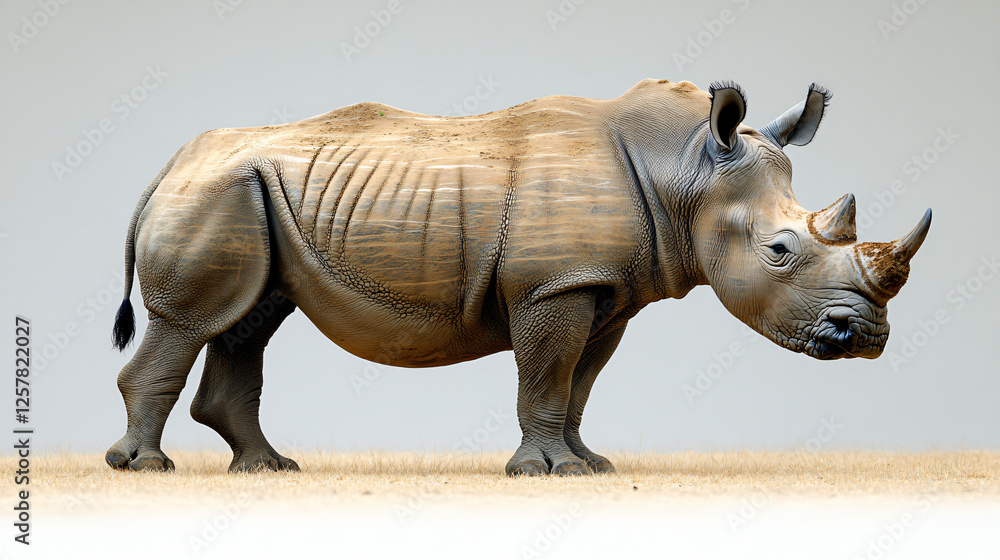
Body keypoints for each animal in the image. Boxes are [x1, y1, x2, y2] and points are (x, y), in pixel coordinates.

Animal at [106, 78, 930, 476]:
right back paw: (147, 468)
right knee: (191, 323)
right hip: (216, 191)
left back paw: (268, 469)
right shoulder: (554, 285)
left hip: (245, 193)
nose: (865, 336)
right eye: (781, 251)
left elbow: (577, 383)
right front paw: (544, 472)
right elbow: (545, 375)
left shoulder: (602, 289)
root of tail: (166, 166)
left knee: (248, 320)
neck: (685, 171)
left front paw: (591, 466)